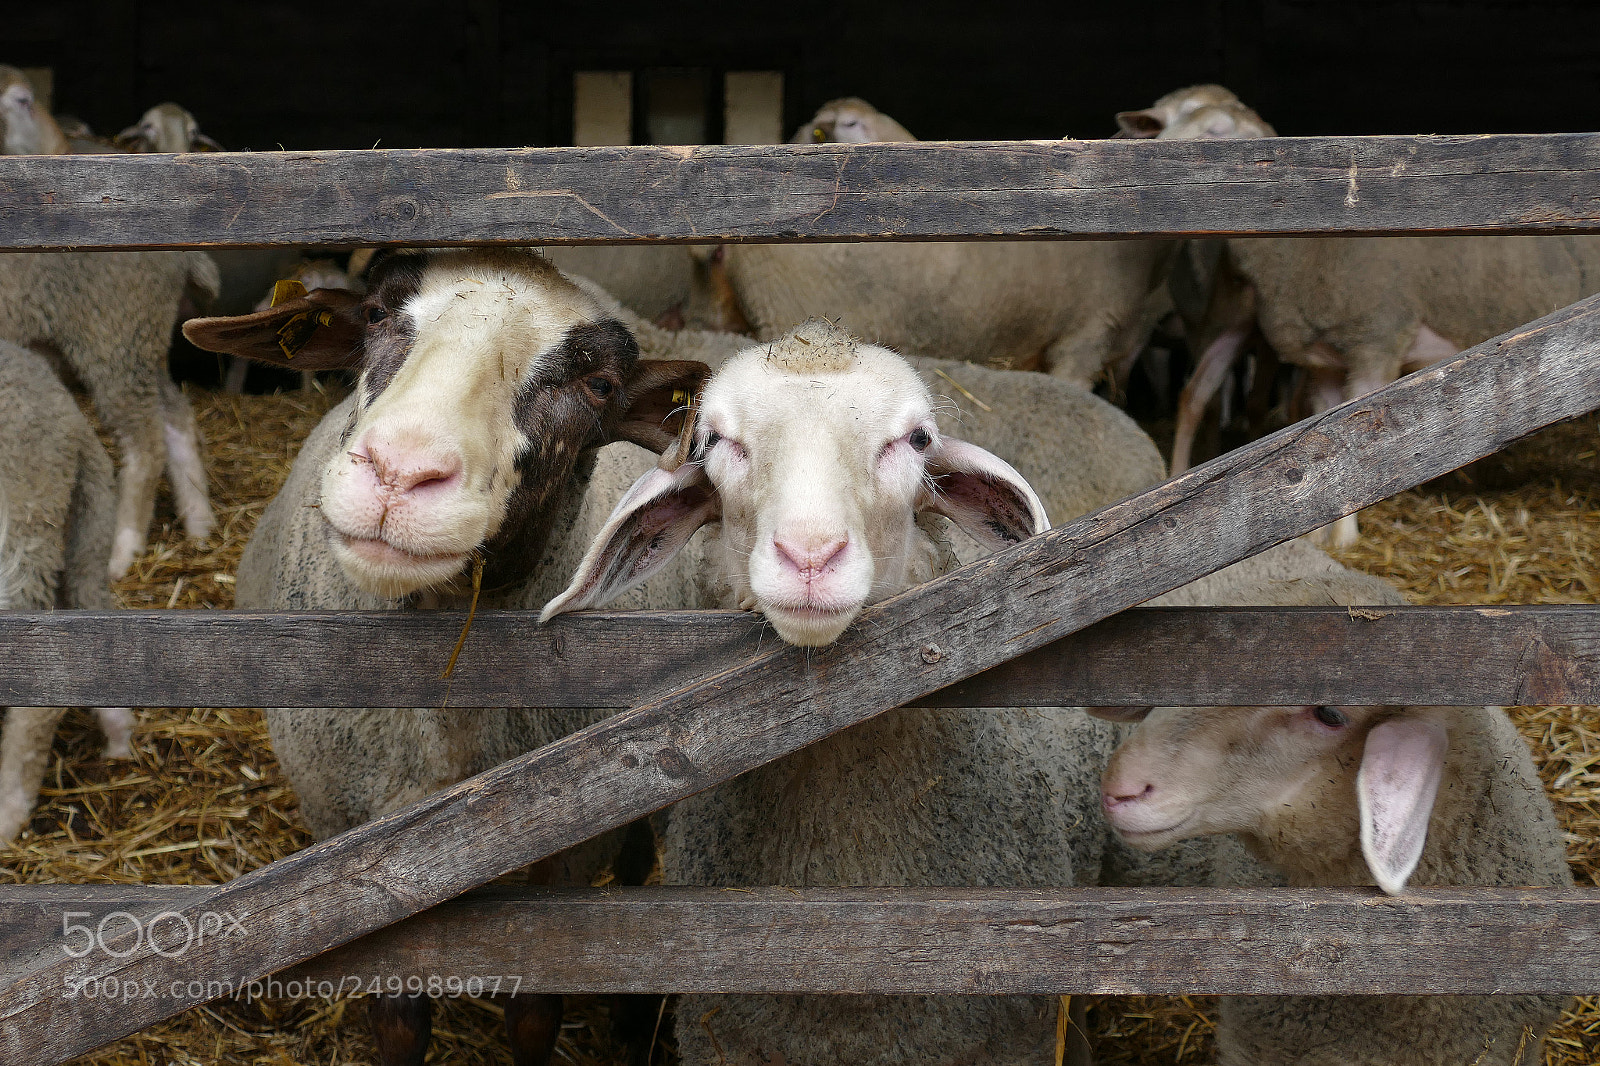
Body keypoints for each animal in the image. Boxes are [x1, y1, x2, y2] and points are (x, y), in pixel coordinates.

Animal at [182, 247, 710, 1066]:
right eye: (374, 316)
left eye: (598, 385)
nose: (400, 473)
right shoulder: (352, 848)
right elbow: (399, 1020)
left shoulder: (560, 860)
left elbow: (535, 1017)